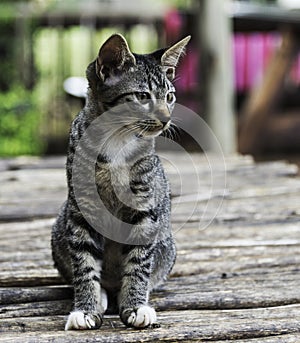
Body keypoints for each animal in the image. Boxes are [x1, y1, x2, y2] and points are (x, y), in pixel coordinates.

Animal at [51, 33, 190, 330]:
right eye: (142, 96)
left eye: (170, 96)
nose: (166, 119)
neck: (117, 139)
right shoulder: (81, 209)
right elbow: (84, 262)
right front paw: (86, 308)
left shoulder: (145, 207)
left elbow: (138, 262)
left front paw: (136, 305)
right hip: (60, 229)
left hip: (167, 243)